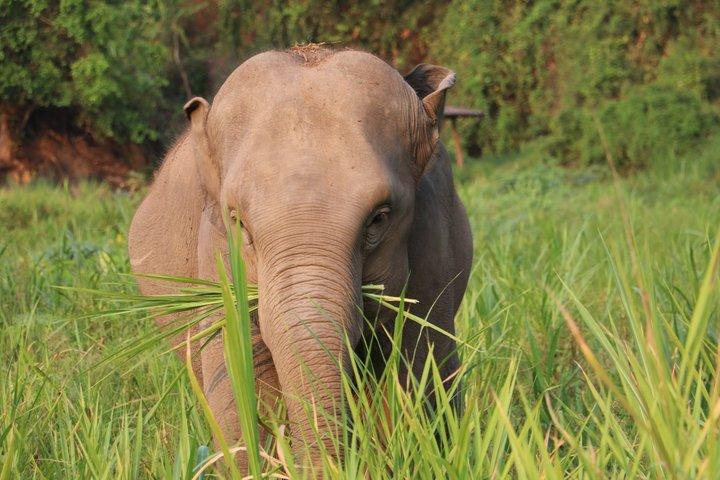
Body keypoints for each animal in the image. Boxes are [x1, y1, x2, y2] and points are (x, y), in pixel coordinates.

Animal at [128, 46, 472, 473]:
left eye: (379, 218)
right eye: (239, 222)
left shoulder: (432, 243)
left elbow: (421, 367)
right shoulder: (217, 256)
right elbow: (239, 378)